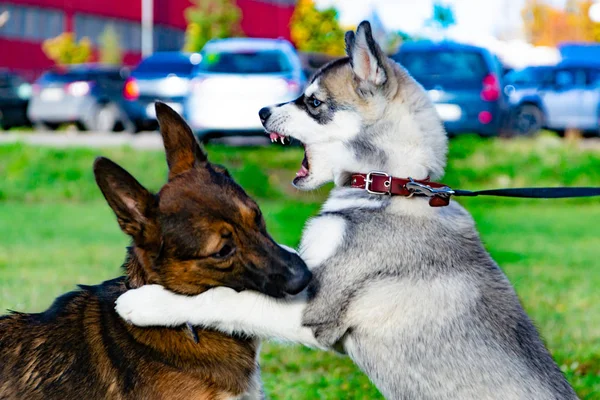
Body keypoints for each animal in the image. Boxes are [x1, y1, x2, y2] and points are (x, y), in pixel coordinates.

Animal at [115, 22, 580, 400]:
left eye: (314, 103)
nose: (262, 111)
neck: (390, 187)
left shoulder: (312, 312)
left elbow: (227, 299)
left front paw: (148, 303)